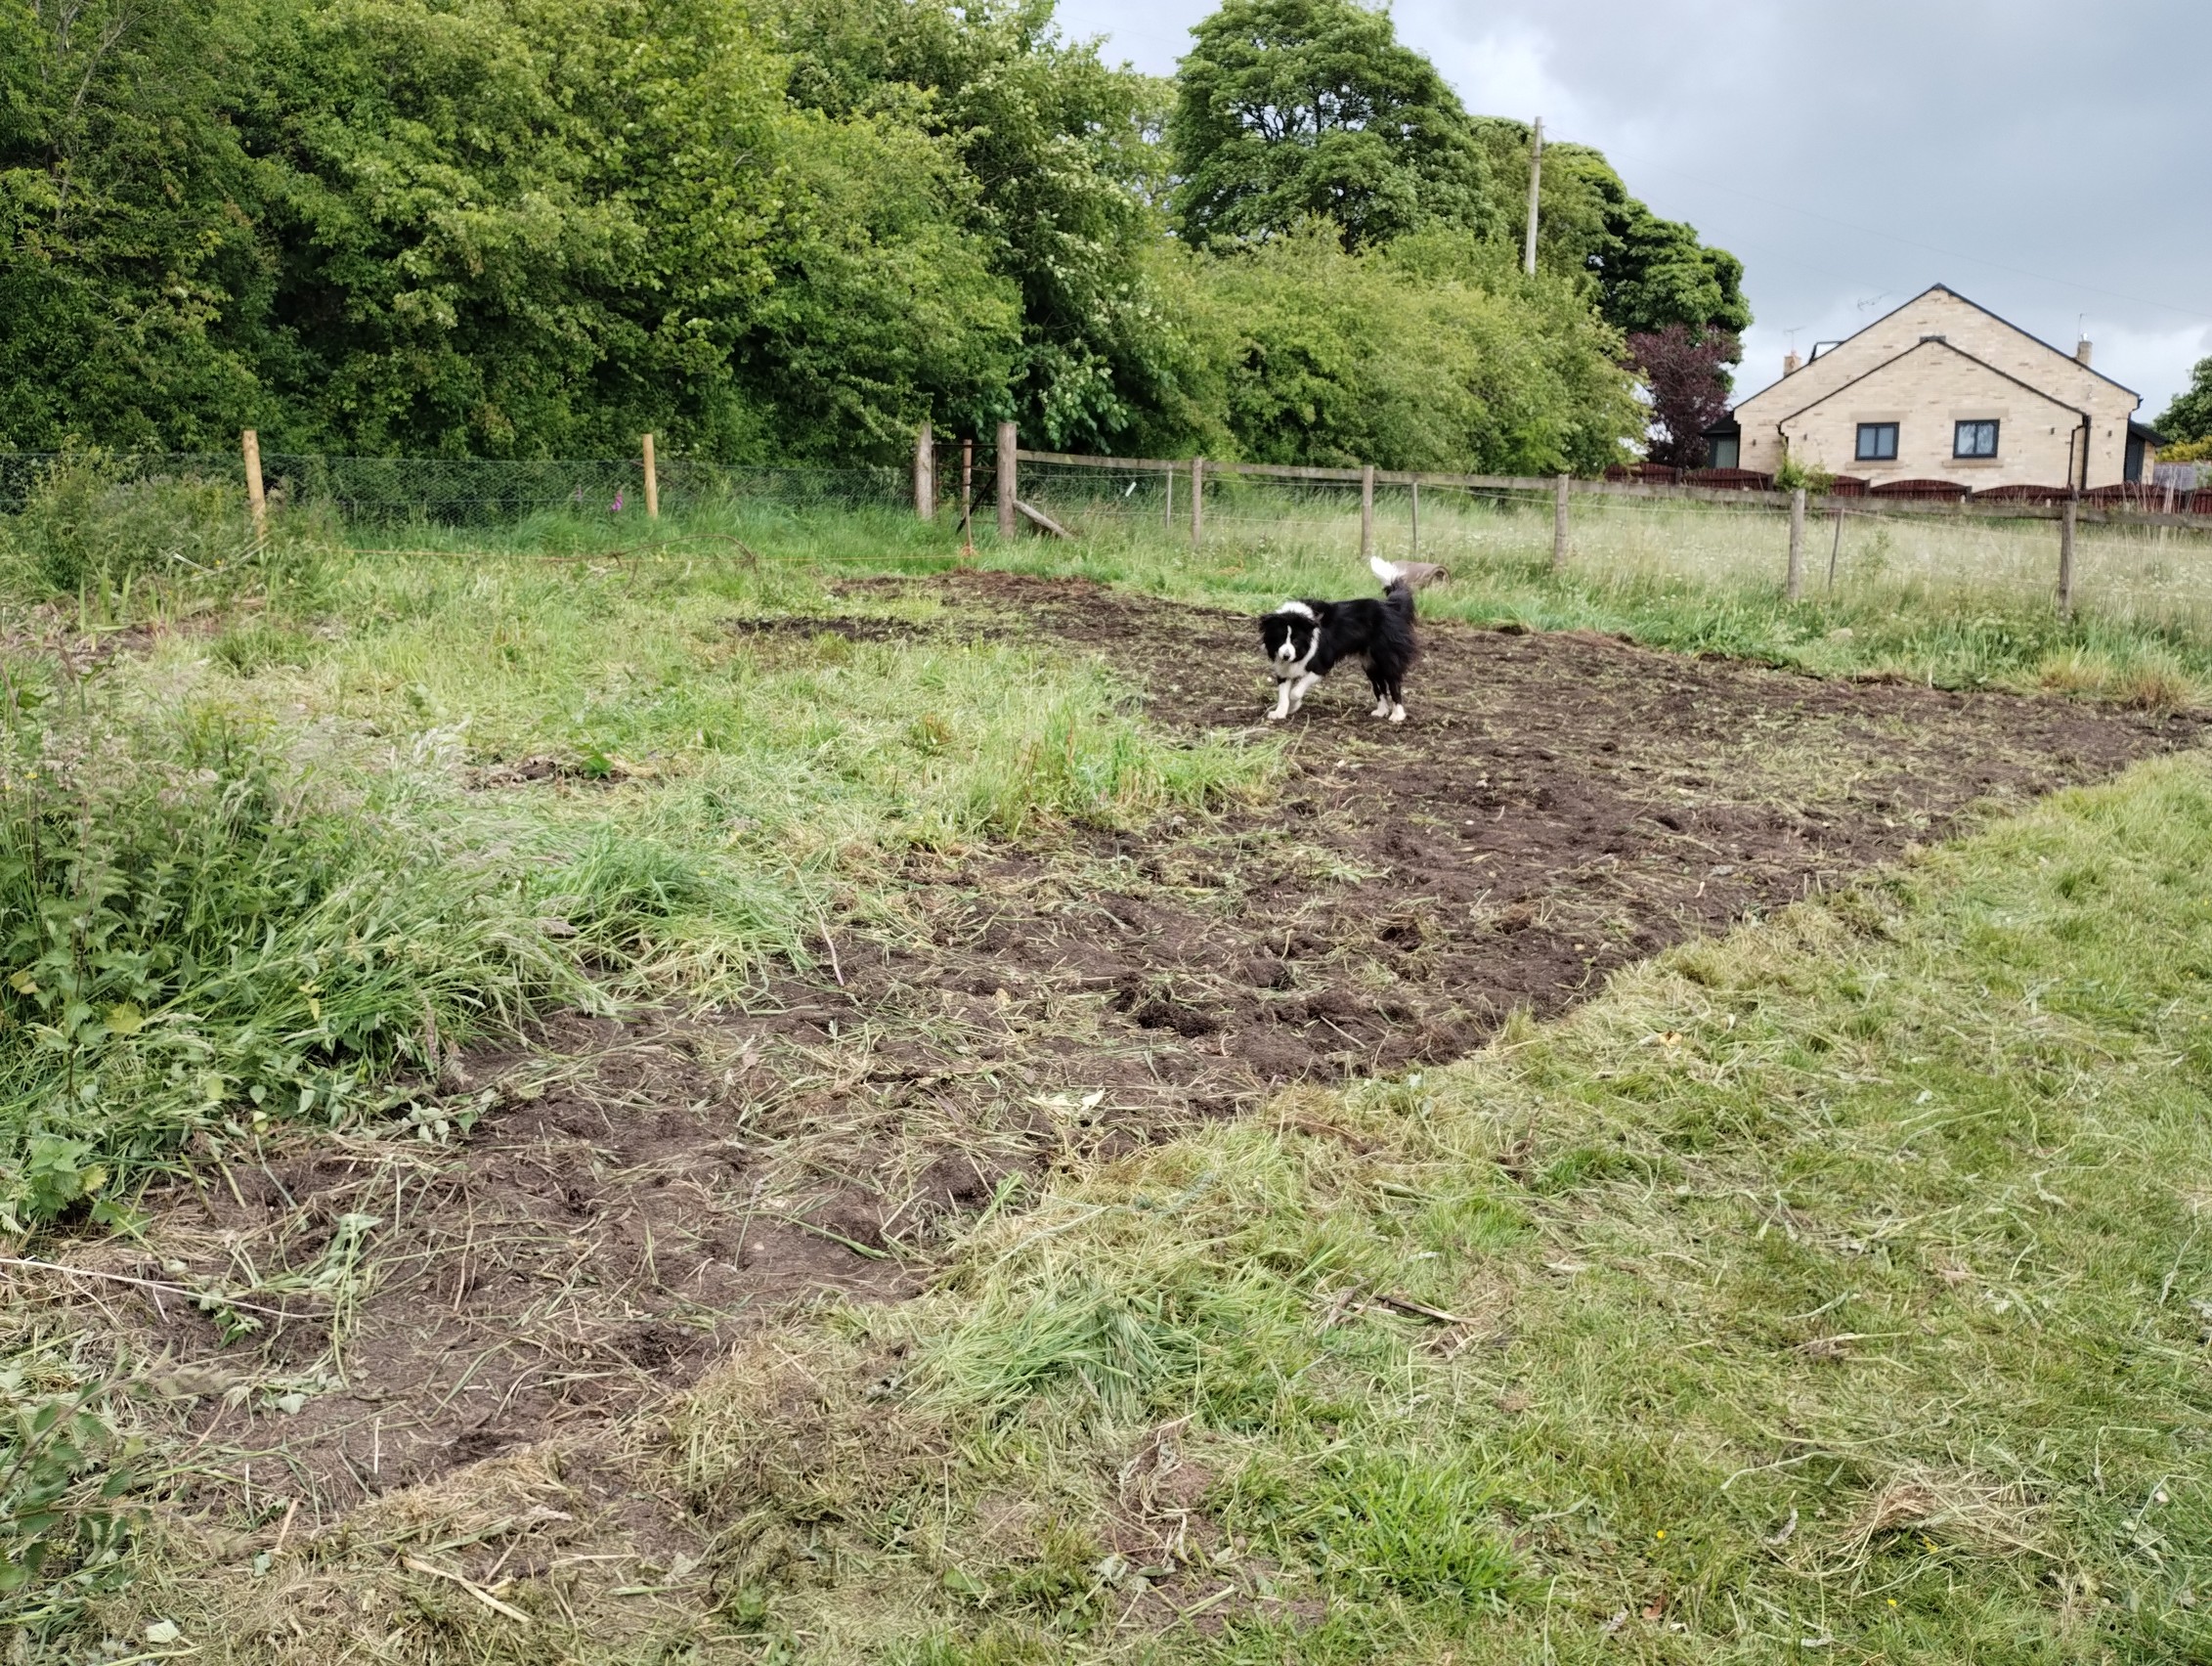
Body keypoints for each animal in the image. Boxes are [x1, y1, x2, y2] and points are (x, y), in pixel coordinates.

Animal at [1259, 556, 1418, 722]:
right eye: (1280, 639)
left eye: (1296, 641)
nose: (1286, 656)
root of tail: (1391, 607)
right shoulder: (1284, 666)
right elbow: (1283, 693)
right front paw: (1280, 712)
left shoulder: (1321, 664)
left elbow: (1295, 692)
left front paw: (1293, 705)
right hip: (1369, 661)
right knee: (1378, 685)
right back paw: (1381, 711)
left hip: (1386, 656)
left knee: (1393, 683)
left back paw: (1397, 715)